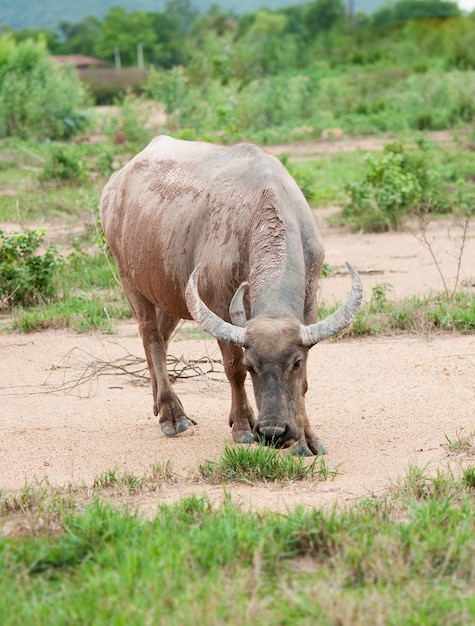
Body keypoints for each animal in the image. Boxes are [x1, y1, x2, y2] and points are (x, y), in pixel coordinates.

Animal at [98, 135, 362, 454]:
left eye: (295, 363)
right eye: (252, 365)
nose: (273, 431)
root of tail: (116, 183)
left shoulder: (309, 307)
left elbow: (304, 383)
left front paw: (305, 438)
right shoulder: (218, 304)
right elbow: (232, 369)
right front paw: (243, 426)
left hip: (171, 295)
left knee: (161, 336)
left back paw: (159, 403)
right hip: (130, 280)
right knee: (150, 336)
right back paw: (172, 414)